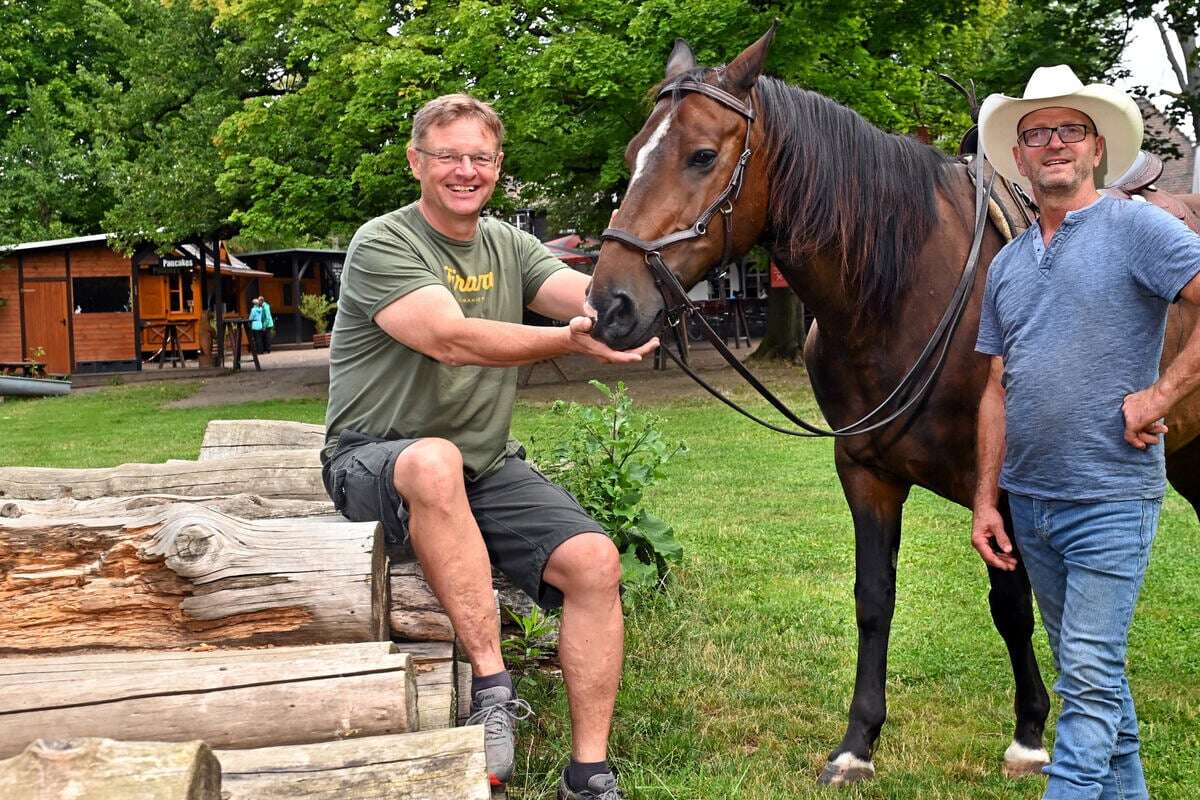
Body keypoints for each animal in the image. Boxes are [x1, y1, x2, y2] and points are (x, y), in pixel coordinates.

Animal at [588, 28, 1200, 786]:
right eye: (630, 155)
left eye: (701, 154)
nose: (609, 305)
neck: (903, 291)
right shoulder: (865, 473)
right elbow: (873, 600)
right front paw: (858, 742)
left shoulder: (1001, 483)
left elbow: (1010, 604)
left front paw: (1030, 732)